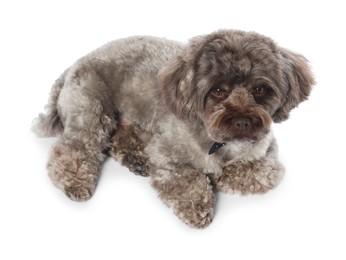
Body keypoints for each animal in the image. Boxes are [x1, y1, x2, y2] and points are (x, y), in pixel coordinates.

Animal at [32, 30, 314, 228]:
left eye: (260, 89)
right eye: (217, 90)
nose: (243, 121)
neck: (221, 143)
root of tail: (76, 63)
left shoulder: (268, 156)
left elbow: (259, 174)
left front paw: (220, 174)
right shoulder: (166, 154)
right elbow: (188, 179)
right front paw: (201, 198)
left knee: (119, 134)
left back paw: (135, 158)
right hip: (91, 111)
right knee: (73, 148)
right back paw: (76, 181)